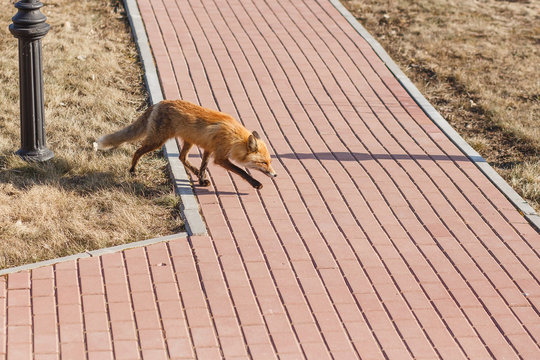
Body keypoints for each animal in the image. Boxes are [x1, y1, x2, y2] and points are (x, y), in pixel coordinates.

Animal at [93, 98, 276, 188]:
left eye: (270, 162)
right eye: (263, 163)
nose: (275, 175)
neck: (234, 137)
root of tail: (159, 102)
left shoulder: (208, 148)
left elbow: (203, 167)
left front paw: (201, 180)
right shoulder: (220, 157)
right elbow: (242, 171)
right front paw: (255, 183)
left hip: (188, 141)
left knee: (182, 158)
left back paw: (195, 173)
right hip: (157, 141)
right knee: (137, 151)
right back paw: (132, 170)